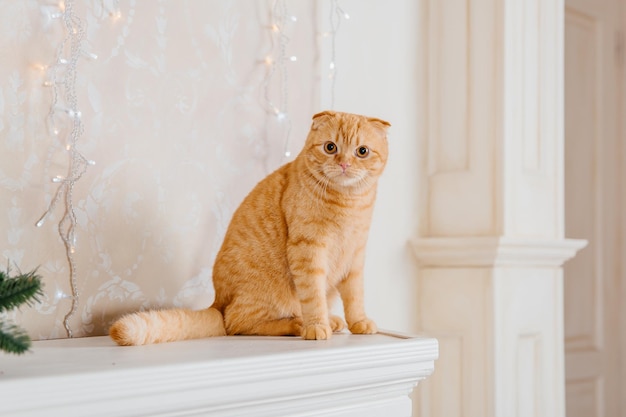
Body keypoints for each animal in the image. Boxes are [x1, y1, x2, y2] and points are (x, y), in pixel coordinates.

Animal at [109, 109, 388, 342]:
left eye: (362, 151)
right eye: (330, 147)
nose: (344, 164)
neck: (348, 202)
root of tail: (217, 302)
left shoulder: (355, 257)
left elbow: (354, 297)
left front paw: (358, 322)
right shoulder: (308, 251)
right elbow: (314, 297)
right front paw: (316, 326)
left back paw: (331, 320)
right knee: (236, 323)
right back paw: (297, 324)